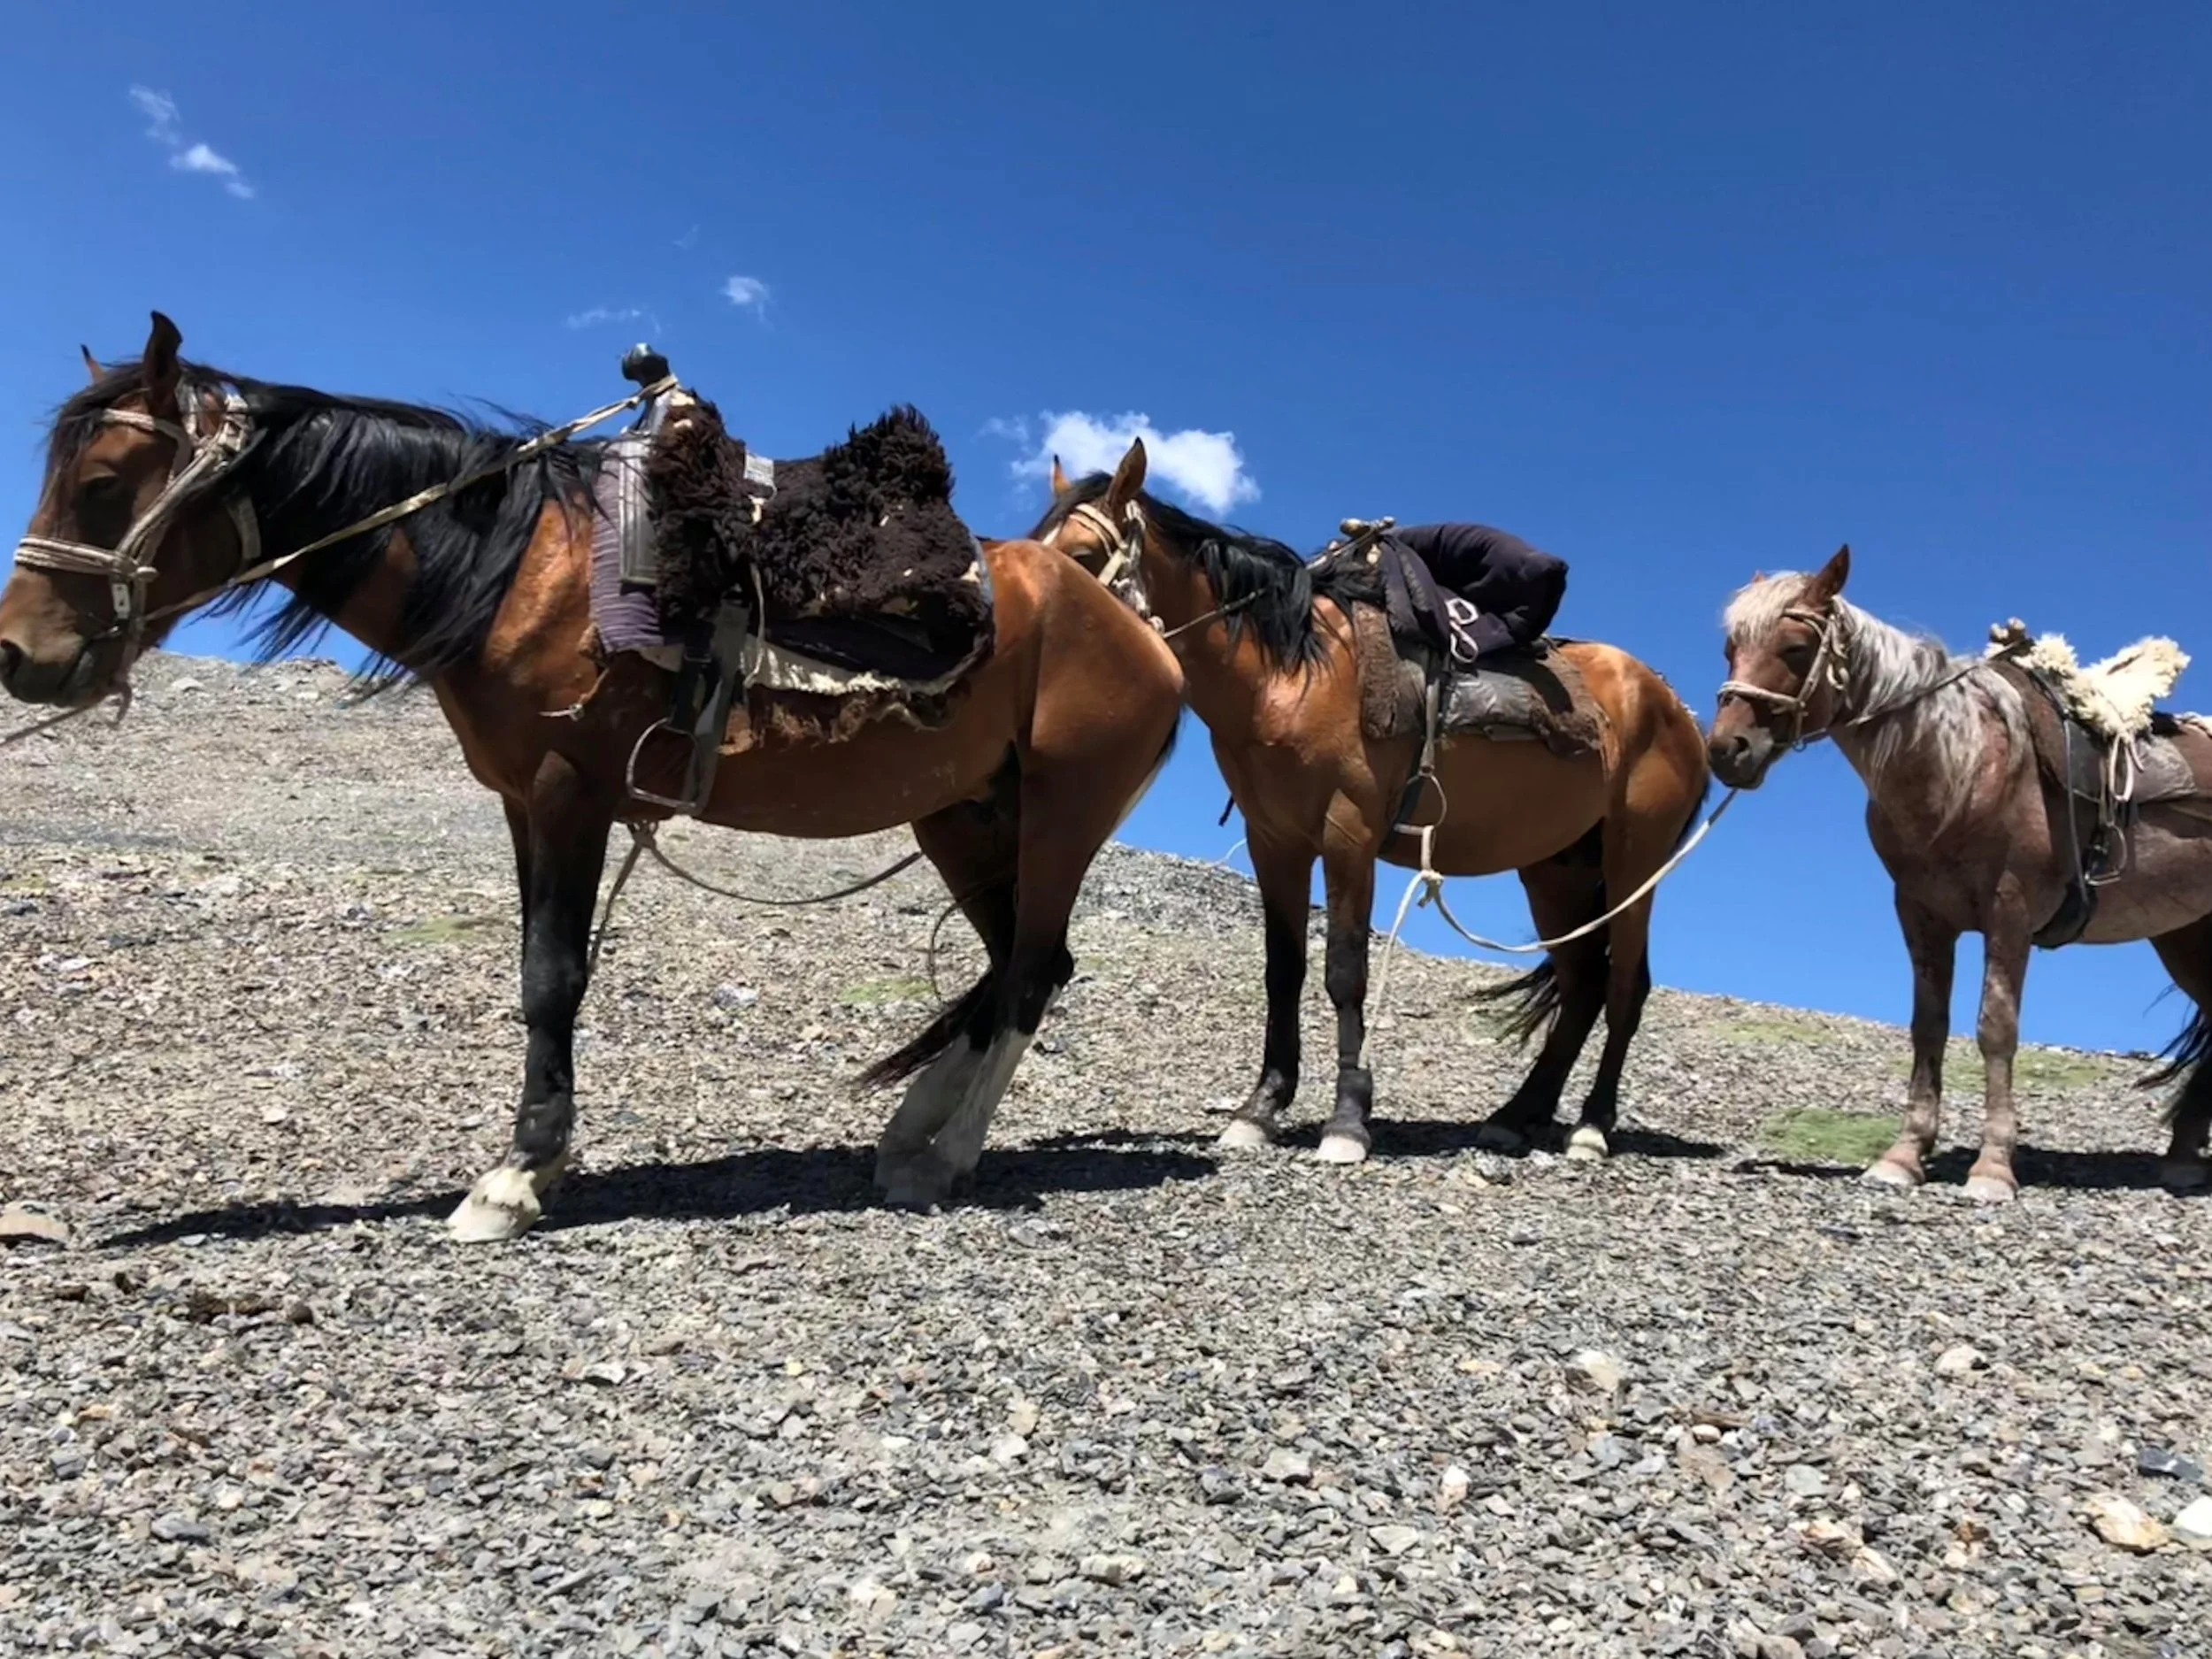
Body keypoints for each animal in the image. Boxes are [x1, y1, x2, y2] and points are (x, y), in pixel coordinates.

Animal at [0, 312, 1184, 1239]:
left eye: (101, 484)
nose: (19, 654)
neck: (519, 570)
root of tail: (1148, 637)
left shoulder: (573, 792)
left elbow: (553, 978)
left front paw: (517, 1178)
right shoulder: (525, 803)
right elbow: (537, 969)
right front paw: (535, 1161)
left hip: (1060, 817)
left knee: (1027, 973)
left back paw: (941, 1159)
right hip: (964, 819)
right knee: (1016, 965)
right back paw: (908, 1139)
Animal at [1032, 440, 1711, 1164]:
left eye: (1082, 554)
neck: (1288, 674)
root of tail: (1680, 713)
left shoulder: (1349, 835)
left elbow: (1344, 971)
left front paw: (1348, 1119)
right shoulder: (1276, 843)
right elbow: (1283, 971)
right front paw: (1260, 1109)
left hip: (1635, 861)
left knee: (1624, 985)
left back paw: (1591, 1125)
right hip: (1557, 867)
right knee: (1583, 984)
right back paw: (1516, 1114)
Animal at [1708, 547, 2212, 1198]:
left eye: (1796, 647)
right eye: (1731, 648)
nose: (1727, 750)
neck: (1964, 762)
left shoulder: (2010, 912)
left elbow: (1995, 1028)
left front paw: (1993, 1168)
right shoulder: (1921, 914)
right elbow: (1928, 1026)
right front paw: (1903, 1155)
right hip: (2186, 938)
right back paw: (2182, 1158)